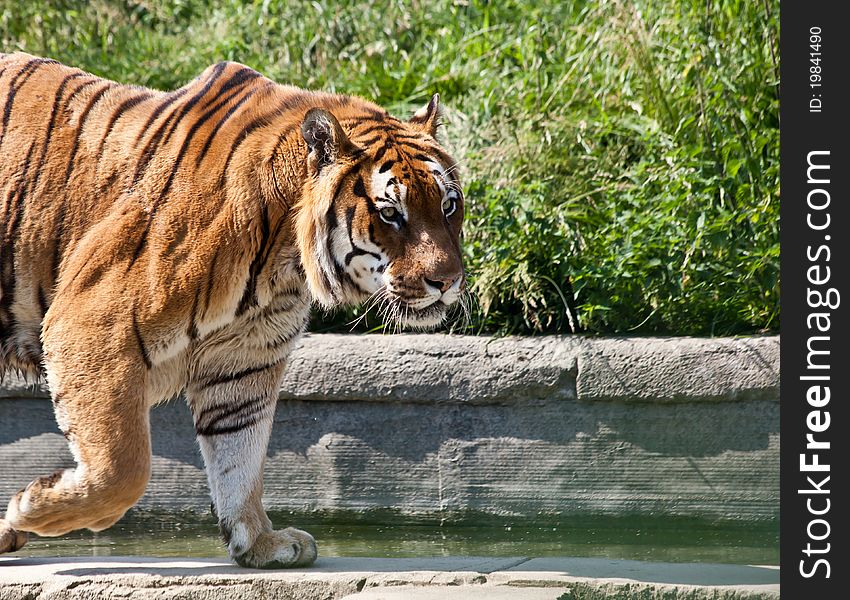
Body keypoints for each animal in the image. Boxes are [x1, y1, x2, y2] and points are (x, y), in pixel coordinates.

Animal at [0, 51, 464, 568]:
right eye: (390, 213)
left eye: (448, 205)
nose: (447, 281)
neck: (283, 256)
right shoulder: (91, 323)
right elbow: (123, 469)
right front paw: (29, 509)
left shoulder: (243, 356)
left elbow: (239, 456)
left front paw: (260, 542)